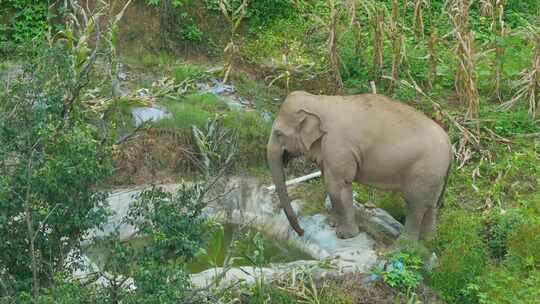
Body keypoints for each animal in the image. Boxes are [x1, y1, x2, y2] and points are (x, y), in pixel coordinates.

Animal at [266, 90, 452, 240]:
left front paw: (345, 235)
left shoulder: (337, 145)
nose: (302, 232)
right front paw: (332, 224)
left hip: (425, 171)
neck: (319, 101)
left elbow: (337, 186)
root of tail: (451, 146)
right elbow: (330, 182)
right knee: (430, 205)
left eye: (278, 133)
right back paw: (427, 242)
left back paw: (404, 246)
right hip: (435, 176)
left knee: (415, 206)